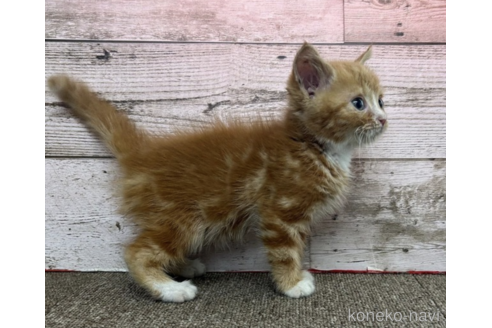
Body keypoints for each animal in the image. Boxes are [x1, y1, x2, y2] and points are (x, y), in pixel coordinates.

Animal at [48, 43, 386, 302]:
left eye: (381, 101)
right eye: (358, 103)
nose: (384, 119)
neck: (313, 145)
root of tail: (141, 152)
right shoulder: (280, 212)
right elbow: (285, 251)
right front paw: (291, 284)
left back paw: (182, 267)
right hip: (182, 218)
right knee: (138, 251)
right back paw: (170, 289)